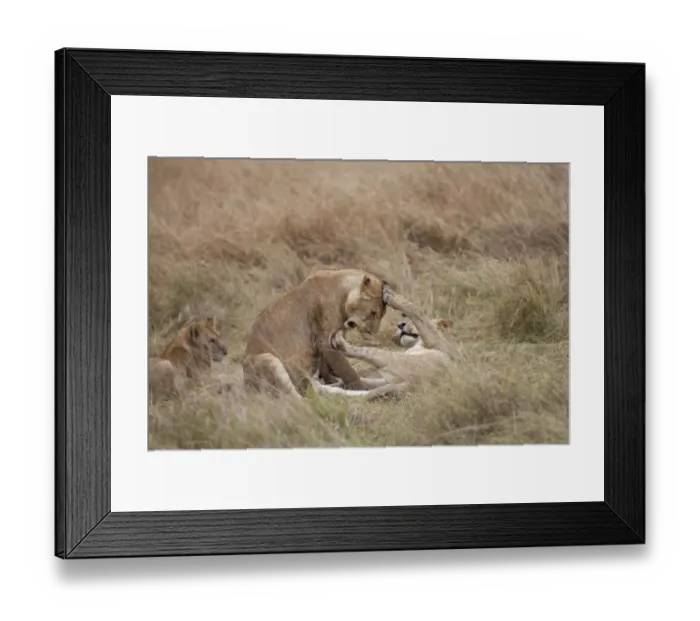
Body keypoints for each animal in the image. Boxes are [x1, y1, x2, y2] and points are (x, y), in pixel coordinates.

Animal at [242, 268, 391, 400]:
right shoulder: (326, 340)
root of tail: (246, 386)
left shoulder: (333, 339)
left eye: (381, 315)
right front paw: (357, 385)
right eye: (373, 313)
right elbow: (346, 369)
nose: (371, 332)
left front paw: (332, 379)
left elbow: (326, 366)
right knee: (296, 399)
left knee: (317, 389)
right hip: (267, 360)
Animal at [311, 286, 459, 399]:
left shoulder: (439, 343)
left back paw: (339, 344)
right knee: (365, 390)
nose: (400, 324)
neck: (416, 344)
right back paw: (322, 385)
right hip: (391, 377)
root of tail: (416, 384)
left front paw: (391, 296)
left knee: (369, 354)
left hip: (402, 361)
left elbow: (417, 312)